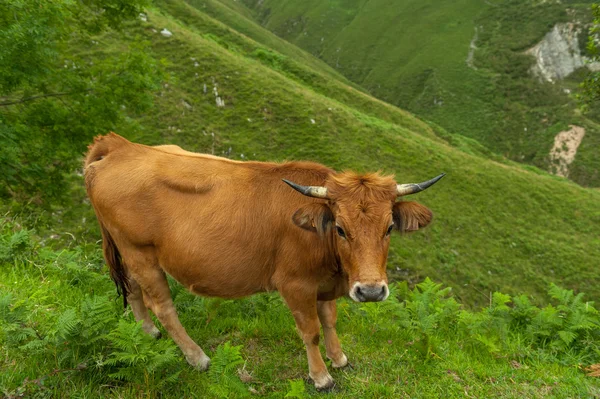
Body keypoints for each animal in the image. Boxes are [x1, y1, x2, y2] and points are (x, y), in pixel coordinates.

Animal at [82, 133, 442, 390]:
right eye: (340, 228)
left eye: (389, 227)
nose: (370, 291)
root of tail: (122, 146)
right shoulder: (295, 283)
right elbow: (310, 330)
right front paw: (321, 377)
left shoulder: (324, 282)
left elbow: (329, 319)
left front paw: (339, 358)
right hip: (139, 251)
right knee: (162, 306)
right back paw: (198, 358)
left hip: (125, 248)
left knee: (131, 289)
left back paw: (147, 333)